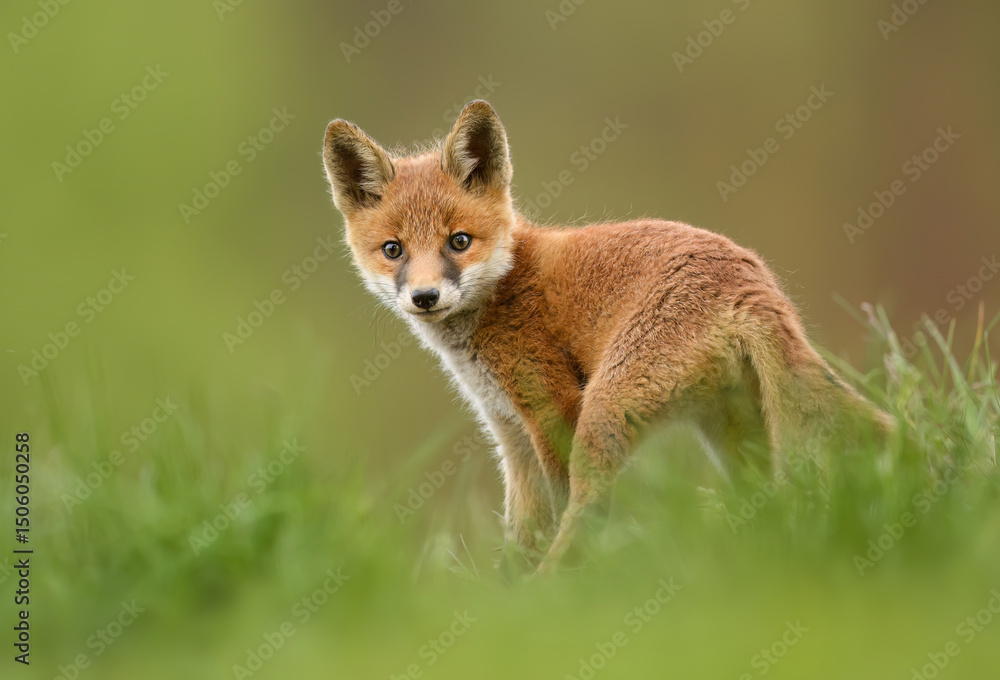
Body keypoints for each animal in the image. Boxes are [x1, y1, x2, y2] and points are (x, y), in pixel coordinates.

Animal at [322, 100, 893, 574]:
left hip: (604, 413)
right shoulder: (509, 433)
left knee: (588, 513)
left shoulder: (552, 408)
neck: (504, 289)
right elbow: (520, 535)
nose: (424, 297)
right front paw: (504, 591)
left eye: (458, 242)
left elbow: (555, 514)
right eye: (393, 250)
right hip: (733, 430)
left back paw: (554, 590)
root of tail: (750, 280)